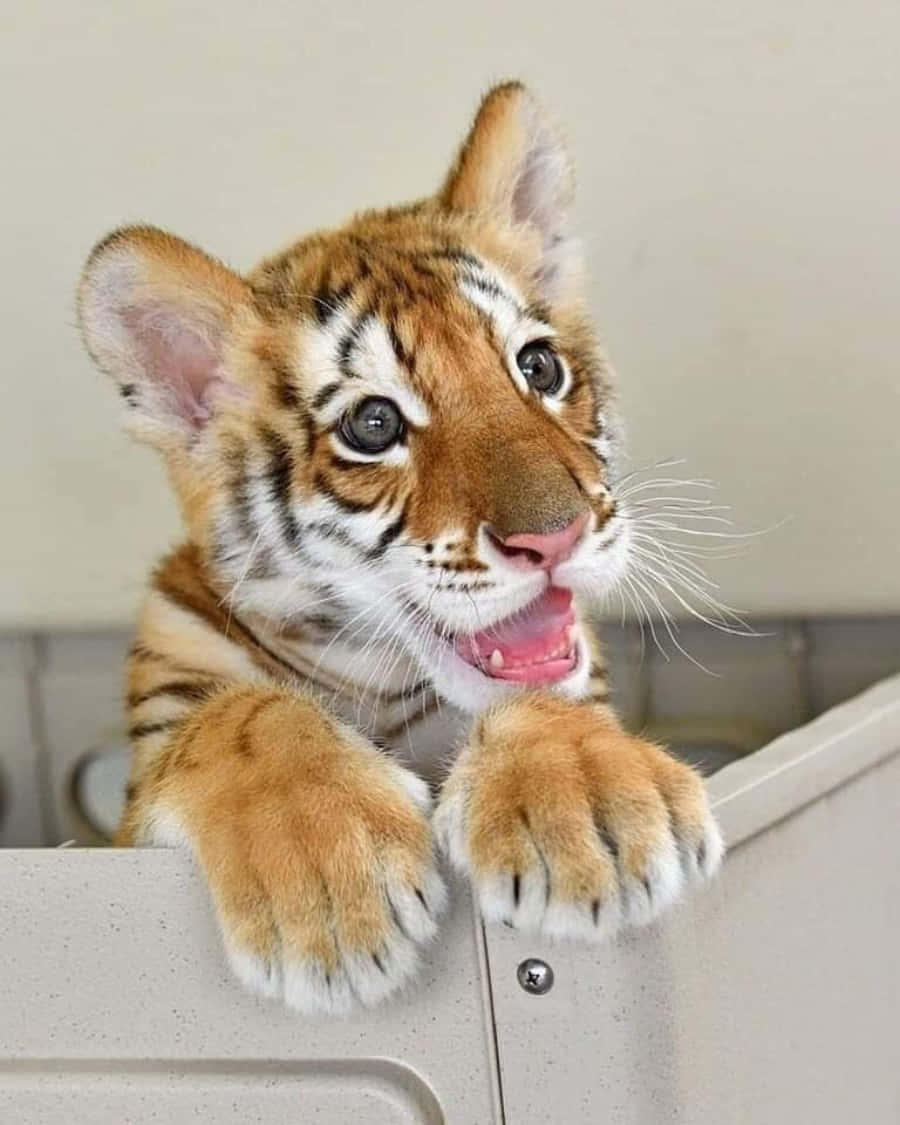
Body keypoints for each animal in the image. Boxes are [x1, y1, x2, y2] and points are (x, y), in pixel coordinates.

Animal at [77, 81, 723, 1015]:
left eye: (538, 368)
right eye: (374, 425)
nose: (556, 533)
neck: (374, 681)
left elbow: (541, 692)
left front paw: (594, 813)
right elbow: (240, 715)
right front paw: (330, 892)